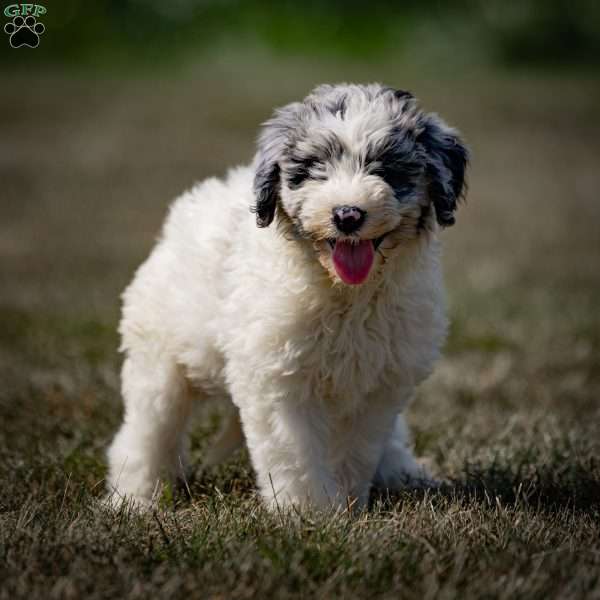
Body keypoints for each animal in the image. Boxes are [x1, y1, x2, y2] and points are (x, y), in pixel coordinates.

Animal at [109, 82, 474, 508]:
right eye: (313, 170)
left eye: (386, 169)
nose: (347, 215)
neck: (345, 294)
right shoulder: (279, 380)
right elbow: (296, 453)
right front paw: (309, 511)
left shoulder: (376, 387)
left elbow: (355, 449)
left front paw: (346, 502)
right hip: (160, 357)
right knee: (147, 430)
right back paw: (133, 498)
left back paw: (404, 474)